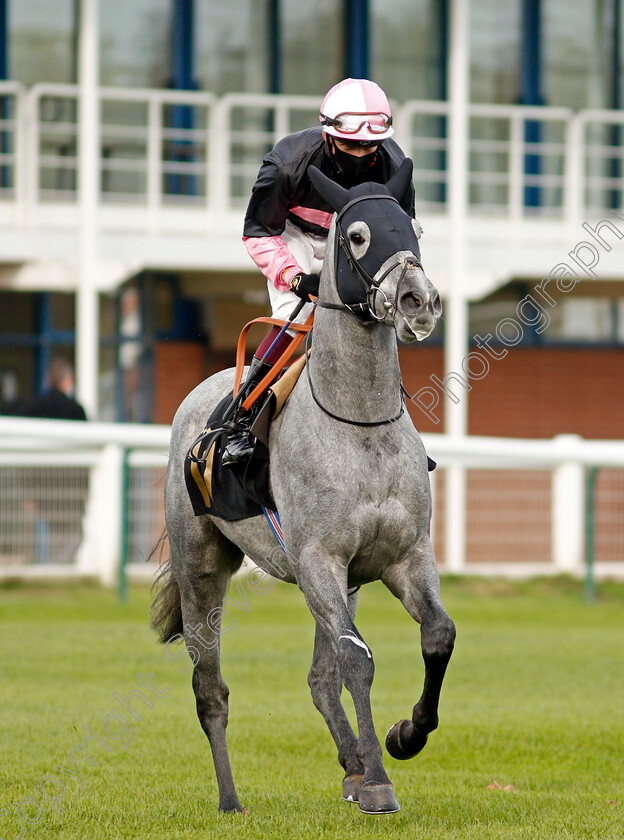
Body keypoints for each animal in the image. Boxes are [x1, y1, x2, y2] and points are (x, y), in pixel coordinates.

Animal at [151, 161, 454, 816]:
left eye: (415, 227)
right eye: (358, 235)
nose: (419, 300)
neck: (360, 424)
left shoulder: (402, 556)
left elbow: (436, 636)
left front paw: (403, 737)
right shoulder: (318, 558)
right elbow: (357, 659)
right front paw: (380, 780)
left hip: (345, 583)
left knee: (319, 678)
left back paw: (352, 765)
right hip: (202, 569)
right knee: (210, 689)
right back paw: (231, 800)